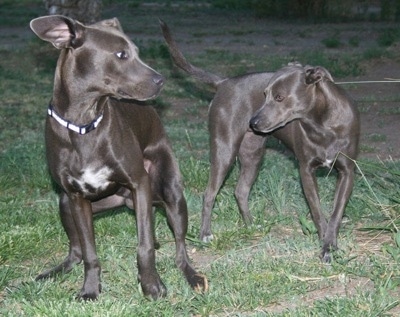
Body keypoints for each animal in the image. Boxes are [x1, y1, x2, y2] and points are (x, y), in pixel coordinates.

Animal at [161, 21, 360, 260]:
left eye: (280, 97)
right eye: (264, 94)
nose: (253, 121)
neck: (323, 122)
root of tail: (224, 82)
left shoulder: (347, 172)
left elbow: (336, 213)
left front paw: (330, 245)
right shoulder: (306, 171)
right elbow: (318, 212)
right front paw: (325, 246)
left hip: (253, 155)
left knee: (240, 191)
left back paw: (250, 225)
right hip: (225, 151)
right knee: (209, 193)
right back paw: (205, 234)